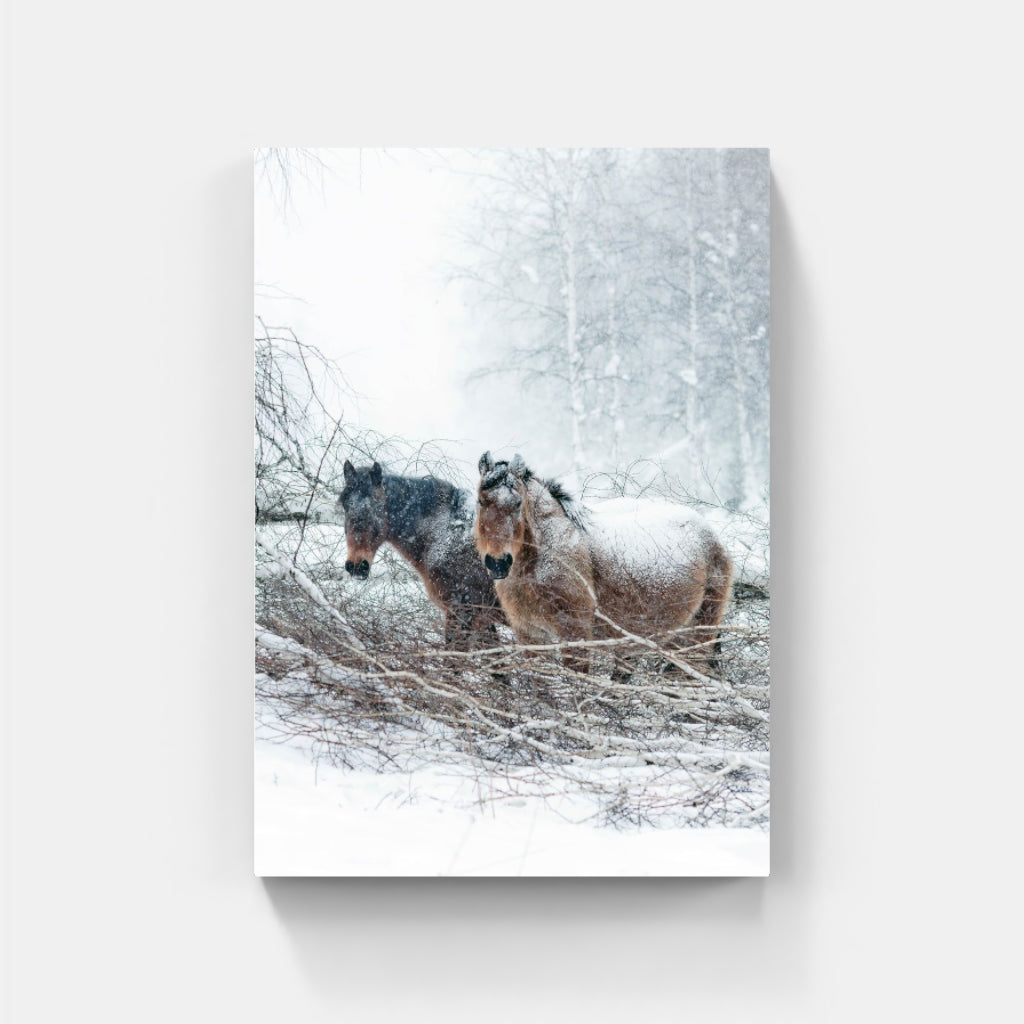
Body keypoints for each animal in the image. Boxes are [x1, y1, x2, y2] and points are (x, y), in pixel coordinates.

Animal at [339, 460, 506, 648]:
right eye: (344, 504)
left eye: (377, 505)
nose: (356, 566)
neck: (443, 533)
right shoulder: (483, 618)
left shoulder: (462, 612)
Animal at [473, 452, 734, 676]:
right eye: (481, 501)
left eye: (518, 504)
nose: (498, 563)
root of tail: (712, 535)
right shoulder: (529, 633)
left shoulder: (575, 632)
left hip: (698, 633)